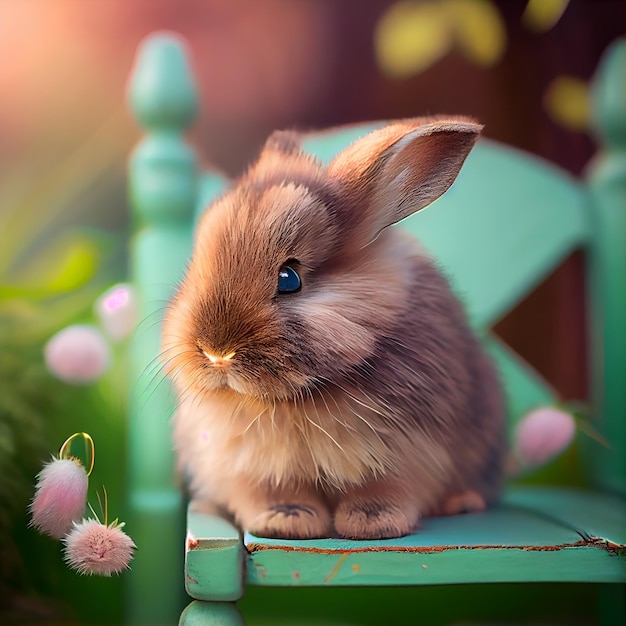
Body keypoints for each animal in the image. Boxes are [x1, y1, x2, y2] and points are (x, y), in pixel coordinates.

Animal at [160, 116, 502, 536]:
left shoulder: (407, 453)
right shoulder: (249, 466)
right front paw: (286, 522)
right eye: (195, 268)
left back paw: (463, 503)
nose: (216, 353)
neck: (288, 399)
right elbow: (274, 493)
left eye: (289, 278)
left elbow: (387, 489)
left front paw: (372, 523)